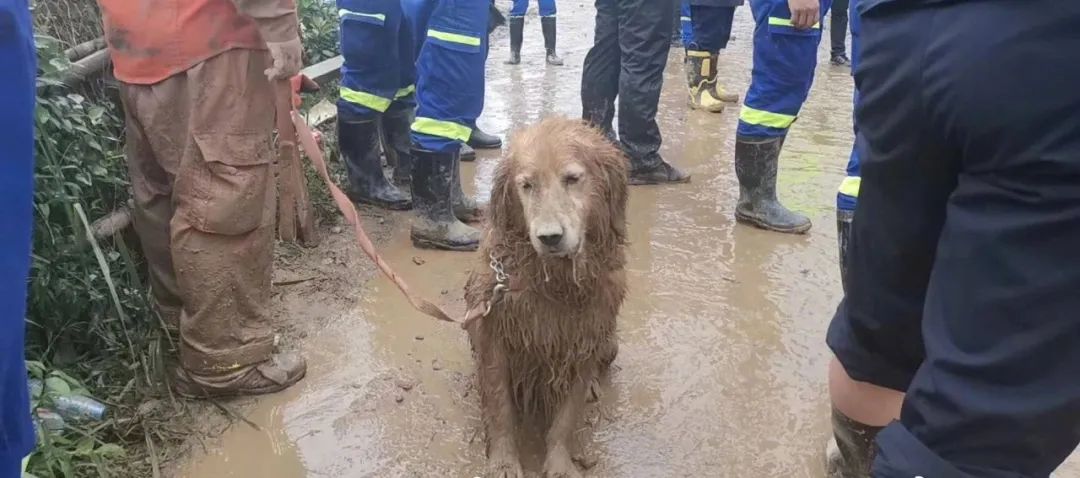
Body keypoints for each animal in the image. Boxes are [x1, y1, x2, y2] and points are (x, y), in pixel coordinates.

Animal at [462, 117, 630, 478]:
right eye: (527, 185)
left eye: (572, 179)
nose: (550, 237)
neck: (554, 282)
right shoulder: (494, 333)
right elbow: (499, 404)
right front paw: (504, 461)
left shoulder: (585, 339)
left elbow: (566, 416)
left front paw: (559, 463)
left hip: (610, 343)